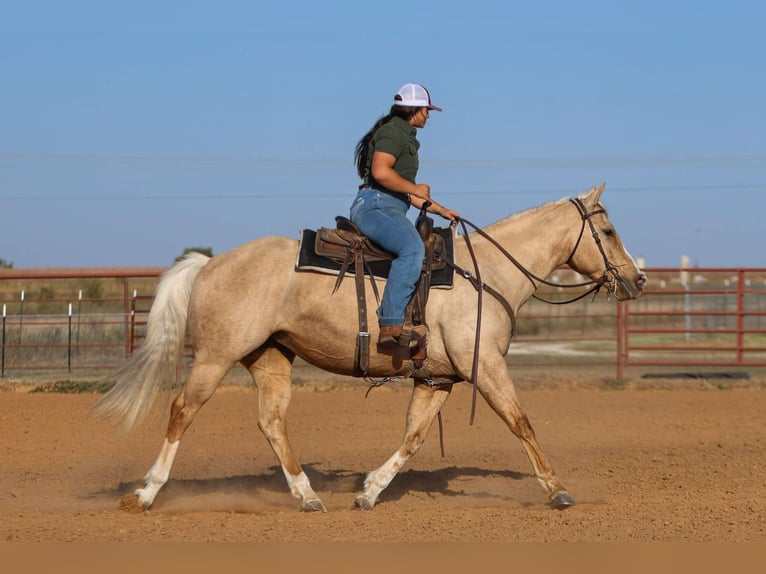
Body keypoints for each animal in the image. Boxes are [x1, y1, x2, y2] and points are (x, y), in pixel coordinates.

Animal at [95, 183, 646, 512]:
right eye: (608, 229)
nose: (638, 279)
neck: (486, 273)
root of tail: (209, 263)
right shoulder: (486, 368)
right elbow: (521, 422)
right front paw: (557, 490)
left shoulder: (437, 379)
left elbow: (413, 437)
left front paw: (369, 491)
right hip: (215, 357)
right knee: (182, 410)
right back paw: (146, 492)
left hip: (270, 358)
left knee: (272, 422)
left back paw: (307, 496)